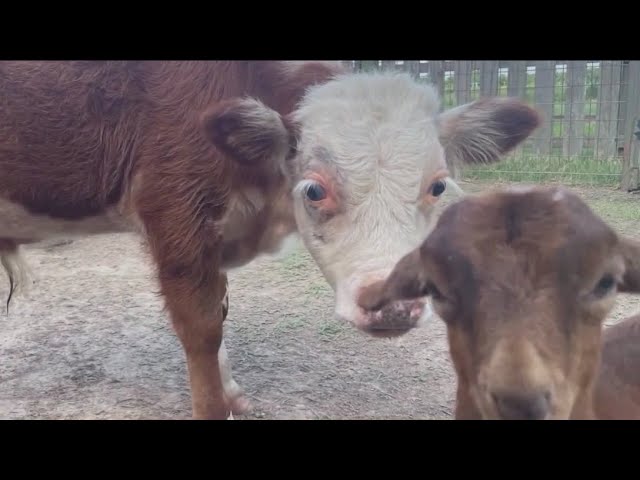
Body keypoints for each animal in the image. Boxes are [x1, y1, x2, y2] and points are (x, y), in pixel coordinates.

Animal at [0, 61, 541, 419]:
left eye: (438, 186)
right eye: (314, 189)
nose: (392, 302)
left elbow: (218, 317)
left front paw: (232, 393)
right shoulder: (176, 217)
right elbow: (202, 330)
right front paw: (213, 404)